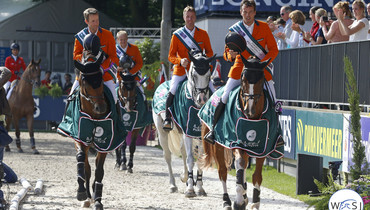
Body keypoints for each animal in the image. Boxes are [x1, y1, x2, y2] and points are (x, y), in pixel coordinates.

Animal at [152, 50, 215, 198]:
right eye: (194, 75)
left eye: (209, 75)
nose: (202, 99)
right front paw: (190, 190)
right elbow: (191, 159)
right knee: (168, 156)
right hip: (162, 132)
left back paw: (185, 177)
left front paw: (199, 188)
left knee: (183, 152)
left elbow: (199, 159)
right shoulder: (188, 132)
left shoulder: (198, 134)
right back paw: (173, 185)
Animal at [199, 56, 284, 209]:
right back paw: (227, 201)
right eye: (243, 79)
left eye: (261, 80)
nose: (249, 109)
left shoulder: (263, 148)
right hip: (219, 146)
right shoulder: (237, 143)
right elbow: (239, 166)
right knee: (223, 172)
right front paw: (238, 201)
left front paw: (255, 202)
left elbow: (257, 176)